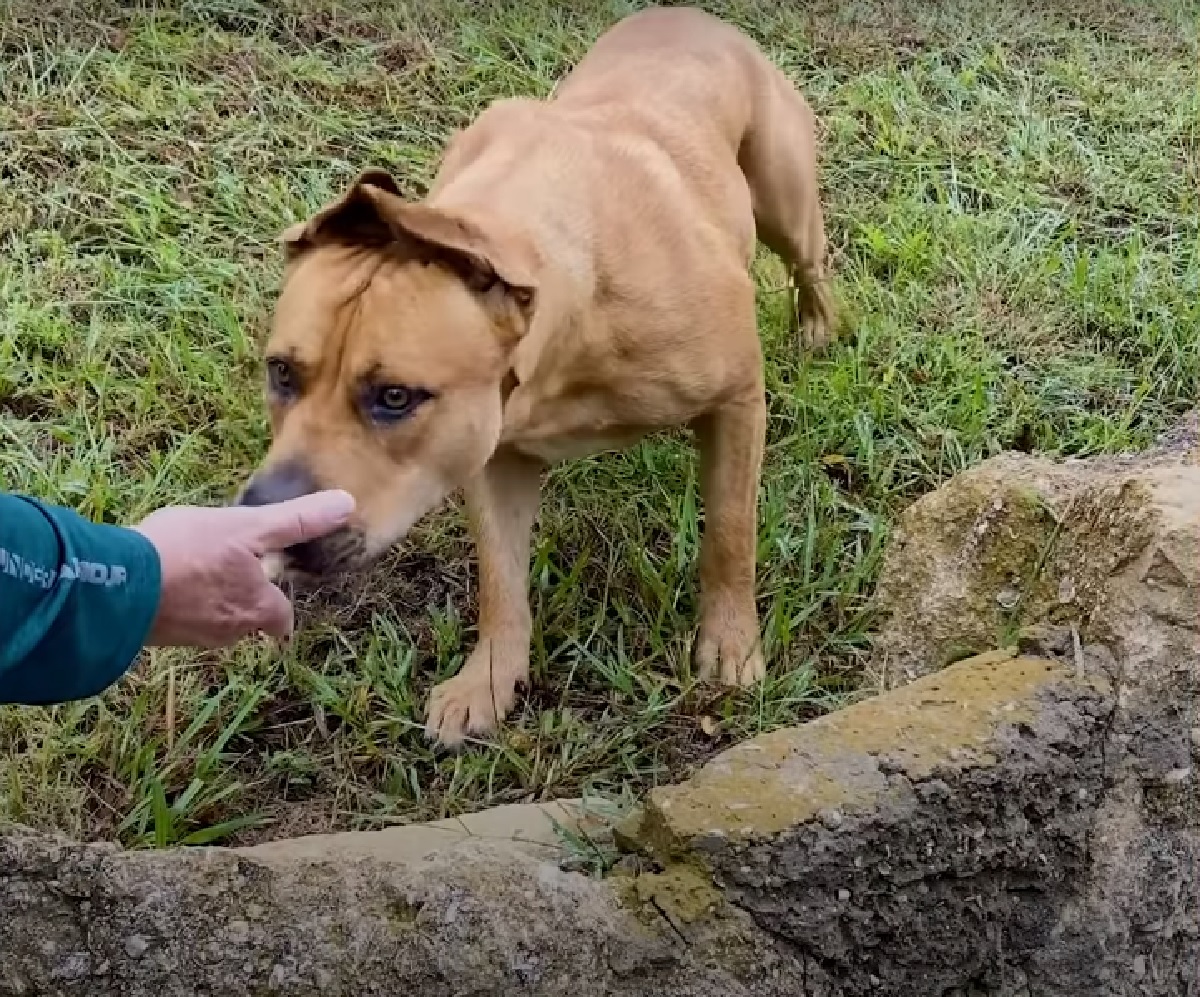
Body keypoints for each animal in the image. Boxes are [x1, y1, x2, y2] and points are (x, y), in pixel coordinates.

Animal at [237, 3, 830, 743]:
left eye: (395, 397)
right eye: (281, 373)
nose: (263, 516)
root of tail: (692, 16)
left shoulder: (736, 402)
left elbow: (729, 532)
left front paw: (730, 645)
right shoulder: (492, 454)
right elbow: (501, 577)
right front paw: (488, 680)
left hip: (786, 202)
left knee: (812, 261)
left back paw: (818, 326)